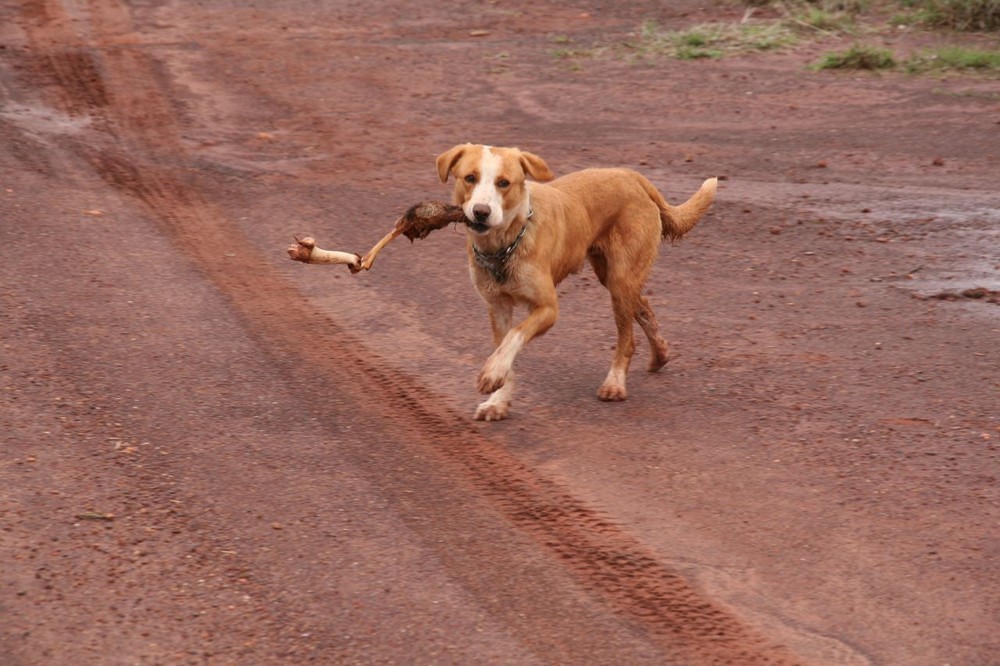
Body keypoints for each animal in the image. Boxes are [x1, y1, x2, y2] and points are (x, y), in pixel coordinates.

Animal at [438, 144, 720, 420]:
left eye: (504, 183)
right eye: (470, 178)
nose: (481, 212)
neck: (506, 244)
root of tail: (632, 176)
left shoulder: (548, 309)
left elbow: (514, 336)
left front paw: (492, 373)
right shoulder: (498, 307)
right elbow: (503, 344)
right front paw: (497, 401)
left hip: (620, 281)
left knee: (628, 339)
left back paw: (615, 383)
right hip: (610, 276)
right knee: (644, 306)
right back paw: (660, 355)